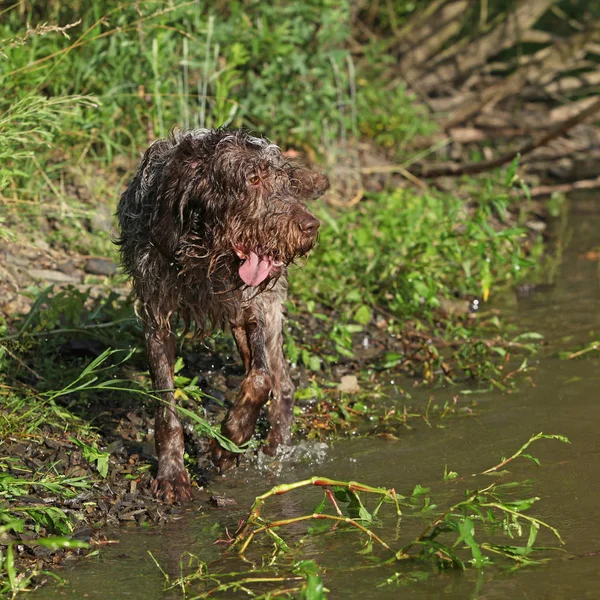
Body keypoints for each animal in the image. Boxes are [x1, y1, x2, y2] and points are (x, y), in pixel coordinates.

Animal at [116, 129, 328, 504]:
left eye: (285, 182)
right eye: (253, 180)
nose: (311, 226)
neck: (204, 249)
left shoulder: (250, 309)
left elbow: (261, 380)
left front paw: (230, 441)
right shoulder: (157, 317)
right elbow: (166, 406)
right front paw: (172, 474)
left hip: (270, 307)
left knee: (283, 384)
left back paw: (276, 449)